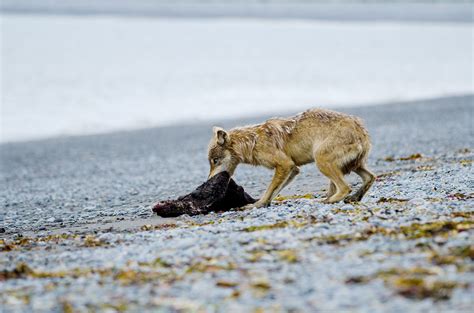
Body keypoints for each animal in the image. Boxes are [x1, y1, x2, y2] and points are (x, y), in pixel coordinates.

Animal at [206, 108, 374, 208]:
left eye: (215, 161)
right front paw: (264, 203)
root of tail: (362, 132)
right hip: (353, 166)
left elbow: (269, 189)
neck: (252, 142)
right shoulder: (293, 169)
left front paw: (258, 204)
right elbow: (275, 191)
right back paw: (352, 197)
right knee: (371, 177)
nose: (208, 180)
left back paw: (327, 200)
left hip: (321, 161)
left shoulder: (285, 164)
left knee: (345, 188)